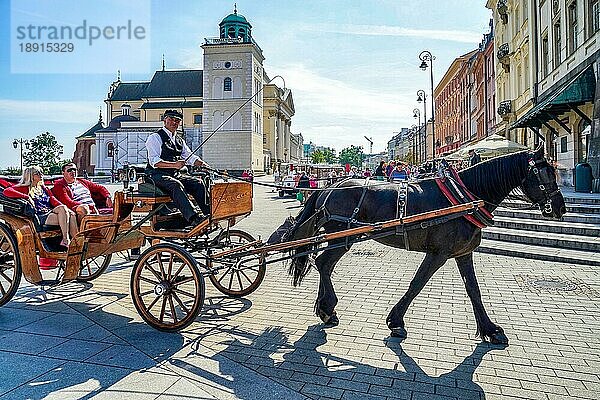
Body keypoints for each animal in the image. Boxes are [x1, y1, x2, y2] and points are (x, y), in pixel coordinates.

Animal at [270, 145, 564, 346]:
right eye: (544, 174)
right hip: (342, 236)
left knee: (324, 265)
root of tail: (329, 187)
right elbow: (417, 284)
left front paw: (490, 329)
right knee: (323, 264)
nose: (560, 208)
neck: (464, 197)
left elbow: (474, 290)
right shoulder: (438, 253)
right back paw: (327, 308)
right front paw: (396, 321)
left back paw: (326, 310)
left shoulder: (463, 252)